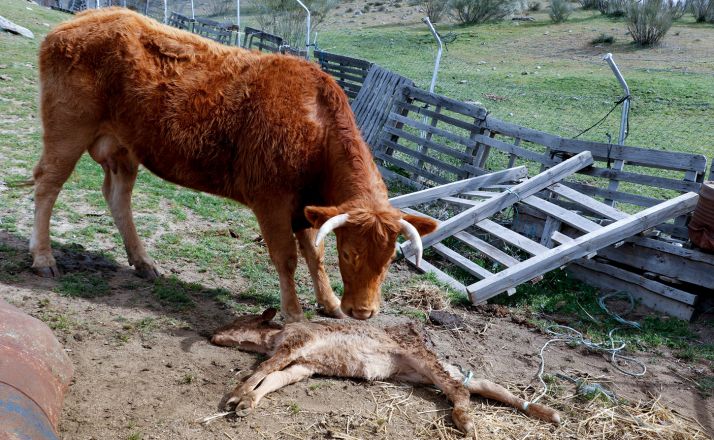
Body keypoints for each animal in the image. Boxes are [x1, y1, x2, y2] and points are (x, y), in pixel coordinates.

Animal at [30, 8, 437, 322]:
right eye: (350, 253)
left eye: (389, 260)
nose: (364, 312)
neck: (316, 126)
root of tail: (84, 17)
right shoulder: (272, 201)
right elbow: (286, 258)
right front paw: (294, 313)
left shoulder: (306, 209)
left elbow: (314, 256)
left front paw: (330, 304)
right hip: (68, 130)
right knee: (47, 185)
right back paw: (43, 258)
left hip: (122, 149)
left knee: (118, 197)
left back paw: (143, 261)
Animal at [211, 308, 561, 438]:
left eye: (236, 321)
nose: (212, 335)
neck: (272, 339)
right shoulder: (303, 365)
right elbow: (273, 378)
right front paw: (247, 404)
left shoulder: (297, 344)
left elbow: (263, 368)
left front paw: (235, 396)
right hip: (423, 371)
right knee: (481, 384)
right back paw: (547, 413)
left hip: (422, 359)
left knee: (460, 391)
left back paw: (466, 422)